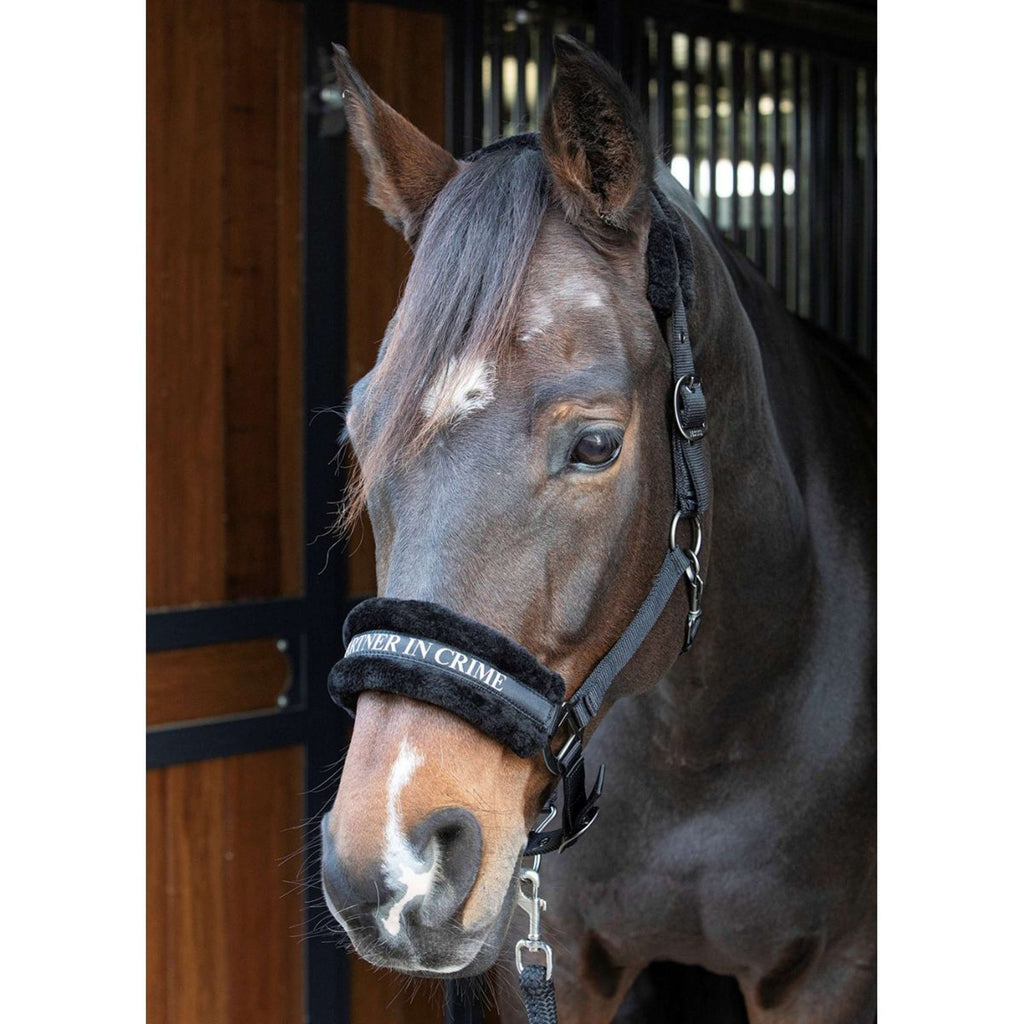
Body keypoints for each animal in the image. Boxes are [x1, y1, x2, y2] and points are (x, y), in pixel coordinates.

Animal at [320, 35, 876, 1024]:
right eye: (360, 429)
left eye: (595, 445)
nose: (391, 872)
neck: (711, 740)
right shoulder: (560, 965)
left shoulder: (832, 975)